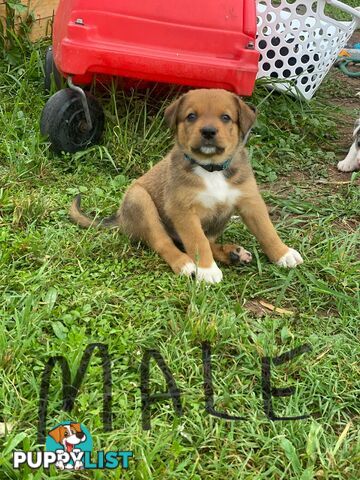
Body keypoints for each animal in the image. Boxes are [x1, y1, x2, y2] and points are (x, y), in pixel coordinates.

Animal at [69, 88, 300, 282]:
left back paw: (232, 254)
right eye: (191, 116)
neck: (211, 168)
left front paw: (283, 254)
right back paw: (186, 264)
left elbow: (266, 230)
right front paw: (207, 270)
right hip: (140, 200)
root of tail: (121, 219)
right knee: (164, 243)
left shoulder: (250, 201)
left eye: (226, 117)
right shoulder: (183, 210)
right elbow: (197, 241)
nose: (208, 131)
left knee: (206, 240)